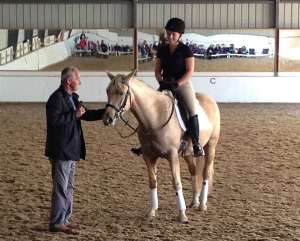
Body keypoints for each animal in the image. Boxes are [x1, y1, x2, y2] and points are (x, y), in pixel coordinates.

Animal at [103, 70, 220, 223]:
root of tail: (210, 99)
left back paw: (202, 204)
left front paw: (182, 215)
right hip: (188, 153)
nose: (108, 119)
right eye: (107, 91)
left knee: (205, 173)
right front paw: (152, 211)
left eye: (121, 93)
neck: (155, 118)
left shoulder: (172, 155)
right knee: (194, 171)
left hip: (211, 146)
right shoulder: (148, 157)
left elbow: (176, 182)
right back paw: (194, 202)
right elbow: (153, 182)